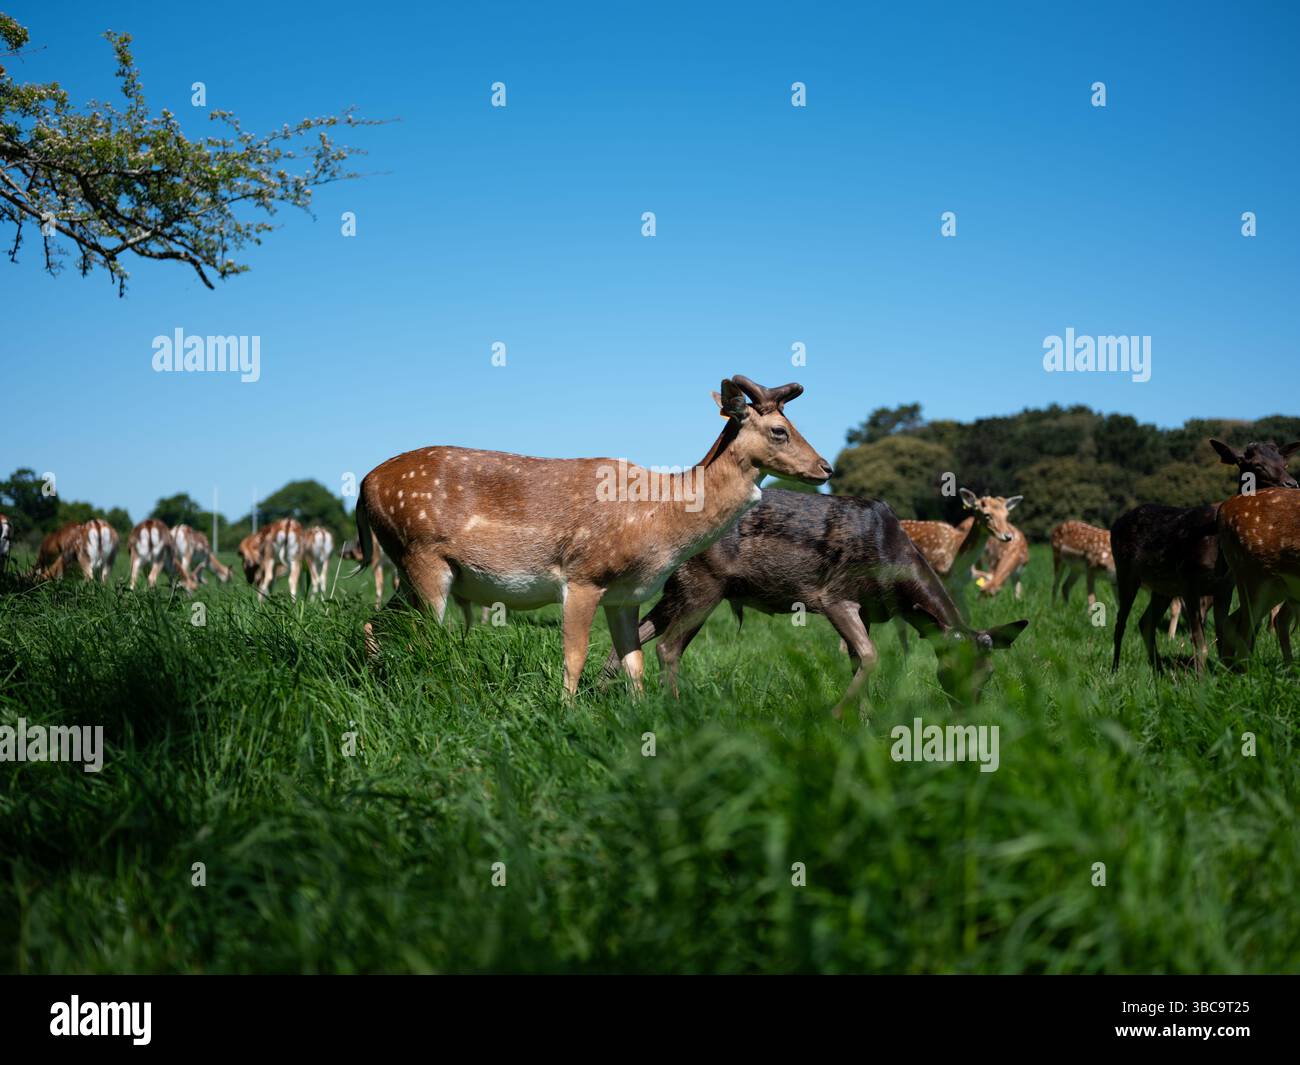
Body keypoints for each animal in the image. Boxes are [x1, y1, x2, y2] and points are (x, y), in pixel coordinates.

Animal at [353, 375, 833, 696]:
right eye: (780, 430)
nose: (825, 467)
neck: (659, 521)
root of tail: (363, 485)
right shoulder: (583, 574)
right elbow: (574, 656)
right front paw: (564, 712)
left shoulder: (626, 594)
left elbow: (634, 662)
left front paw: (641, 715)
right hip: (423, 557)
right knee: (421, 634)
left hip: (407, 568)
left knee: (375, 619)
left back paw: (375, 680)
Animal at [599, 488, 1029, 715]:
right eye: (950, 667)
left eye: (989, 672)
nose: (969, 712)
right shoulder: (834, 596)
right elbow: (870, 656)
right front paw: (838, 715)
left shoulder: (869, 609)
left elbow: (858, 659)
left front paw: (865, 720)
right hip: (705, 584)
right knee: (668, 647)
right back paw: (674, 709)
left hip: (677, 587)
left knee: (632, 638)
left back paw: (608, 697)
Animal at [1110, 438, 1299, 672]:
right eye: (1256, 464)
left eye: (1284, 462)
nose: (1292, 484)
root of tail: (1116, 523)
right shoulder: (1189, 581)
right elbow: (1198, 639)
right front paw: (1201, 677)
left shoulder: (1224, 588)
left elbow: (1222, 634)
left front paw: (1223, 672)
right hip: (1125, 571)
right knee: (1121, 622)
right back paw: (1115, 669)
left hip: (1163, 587)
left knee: (1145, 622)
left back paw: (1159, 670)